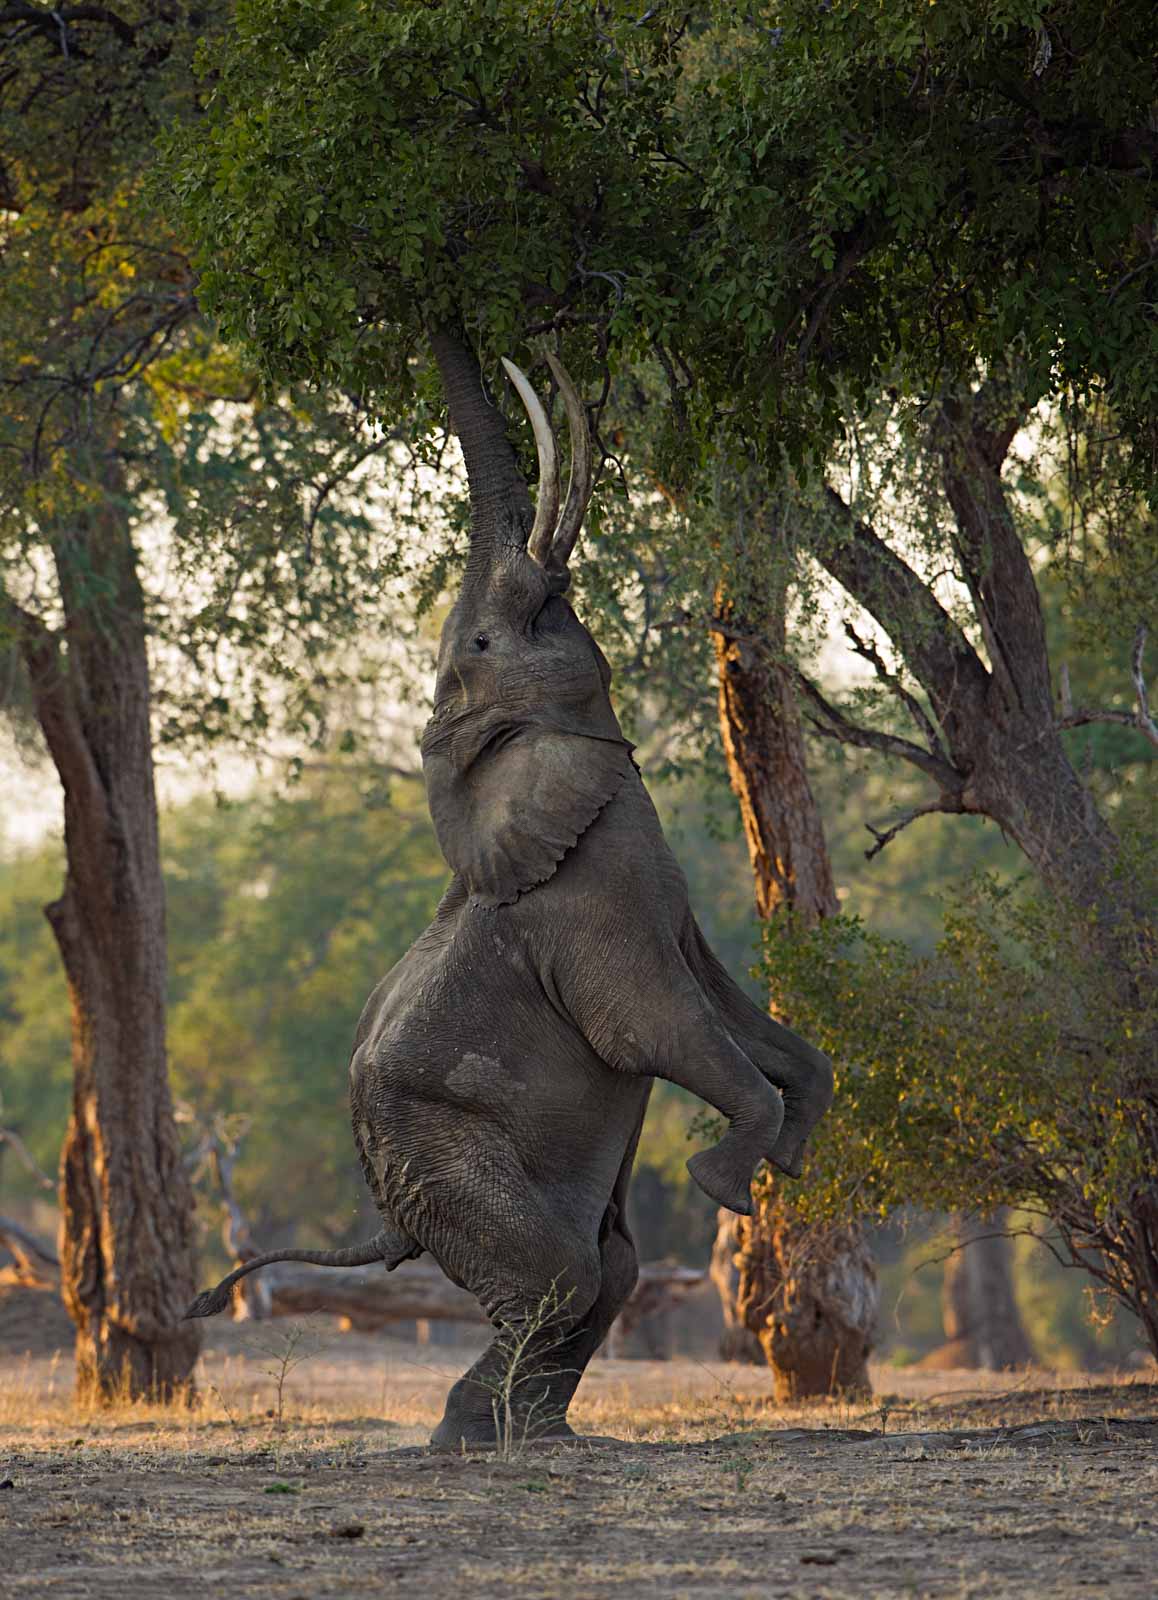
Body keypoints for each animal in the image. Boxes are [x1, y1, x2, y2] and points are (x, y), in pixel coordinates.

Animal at [186, 334, 834, 1450]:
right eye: (487, 644)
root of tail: (387, 1215)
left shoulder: (663, 900)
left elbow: (746, 1019)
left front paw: (790, 1153)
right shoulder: (587, 907)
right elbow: (653, 1028)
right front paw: (726, 1186)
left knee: (606, 1269)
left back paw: (538, 1435)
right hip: (437, 1149)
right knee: (565, 1271)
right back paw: (468, 1437)